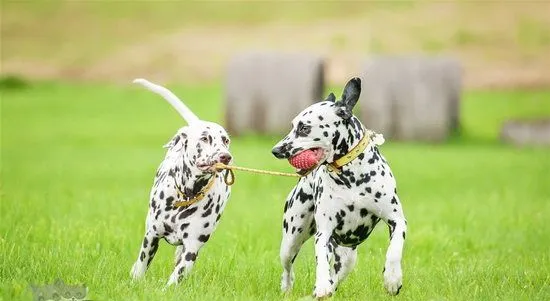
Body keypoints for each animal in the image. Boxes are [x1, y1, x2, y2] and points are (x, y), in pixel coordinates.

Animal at [130, 78, 233, 284]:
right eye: (205, 138)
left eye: (225, 140)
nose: (226, 157)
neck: (186, 195)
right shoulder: (151, 237)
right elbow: (141, 265)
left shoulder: (192, 248)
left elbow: (176, 277)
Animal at [272, 77, 410, 296]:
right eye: (293, 125)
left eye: (304, 128)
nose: (275, 150)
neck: (351, 177)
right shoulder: (324, 233)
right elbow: (321, 262)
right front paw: (321, 284)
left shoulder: (396, 220)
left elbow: (395, 250)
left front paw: (392, 278)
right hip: (291, 240)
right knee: (288, 269)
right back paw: (290, 288)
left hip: (347, 259)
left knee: (336, 276)